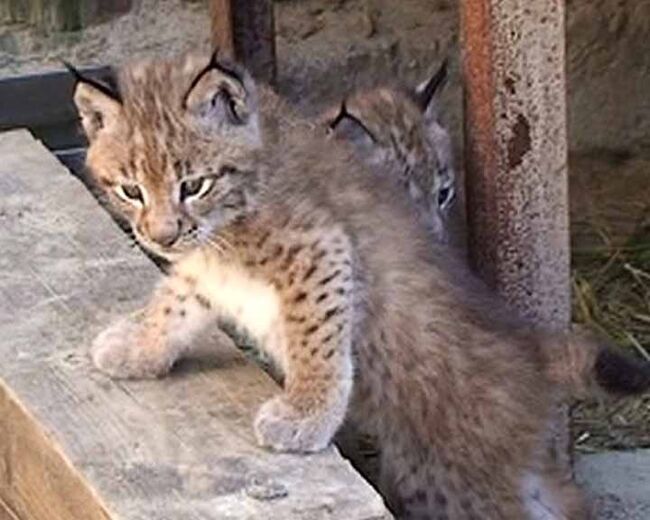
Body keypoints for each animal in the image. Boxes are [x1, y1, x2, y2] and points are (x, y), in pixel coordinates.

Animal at [71, 53, 648, 520]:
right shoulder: (208, 266)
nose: (160, 236)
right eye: (130, 190)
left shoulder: (320, 248)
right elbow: (175, 301)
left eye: (193, 185)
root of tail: (529, 346)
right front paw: (139, 347)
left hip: (439, 479)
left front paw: (305, 415)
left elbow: (315, 336)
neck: (229, 216)